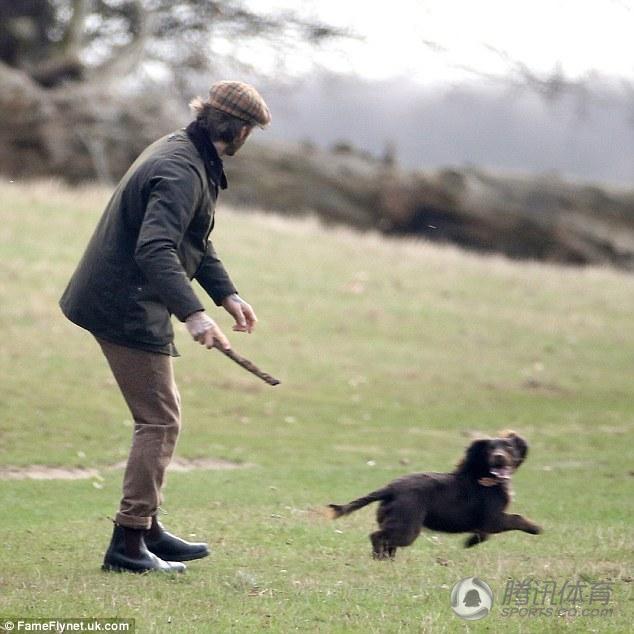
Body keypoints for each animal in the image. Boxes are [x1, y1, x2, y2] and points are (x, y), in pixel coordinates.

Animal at [328, 430, 540, 556]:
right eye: (490, 449)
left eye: (509, 447)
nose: (499, 457)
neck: (485, 477)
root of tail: (390, 488)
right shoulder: (492, 518)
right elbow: (515, 518)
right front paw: (536, 528)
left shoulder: (488, 521)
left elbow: (485, 532)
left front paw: (471, 541)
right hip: (407, 525)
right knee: (378, 537)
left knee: (386, 541)